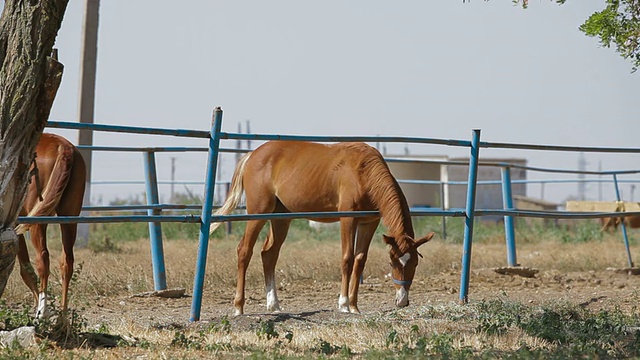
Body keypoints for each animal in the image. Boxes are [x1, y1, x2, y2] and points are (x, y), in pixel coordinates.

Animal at [14, 134, 85, 320]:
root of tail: (64, 147)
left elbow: (25, 268)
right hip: (69, 218)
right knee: (66, 261)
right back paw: (63, 317)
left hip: (37, 222)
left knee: (43, 259)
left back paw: (42, 311)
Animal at [210, 141, 436, 316]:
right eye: (393, 263)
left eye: (415, 263)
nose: (402, 301)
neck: (363, 172)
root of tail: (252, 155)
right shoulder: (348, 219)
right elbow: (347, 258)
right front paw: (344, 304)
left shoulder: (368, 223)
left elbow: (360, 261)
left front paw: (354, 306)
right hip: (258, 213)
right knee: (244, 251)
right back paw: (239, 307)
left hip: (280, 218)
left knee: (269, 254)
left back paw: (273, 304)